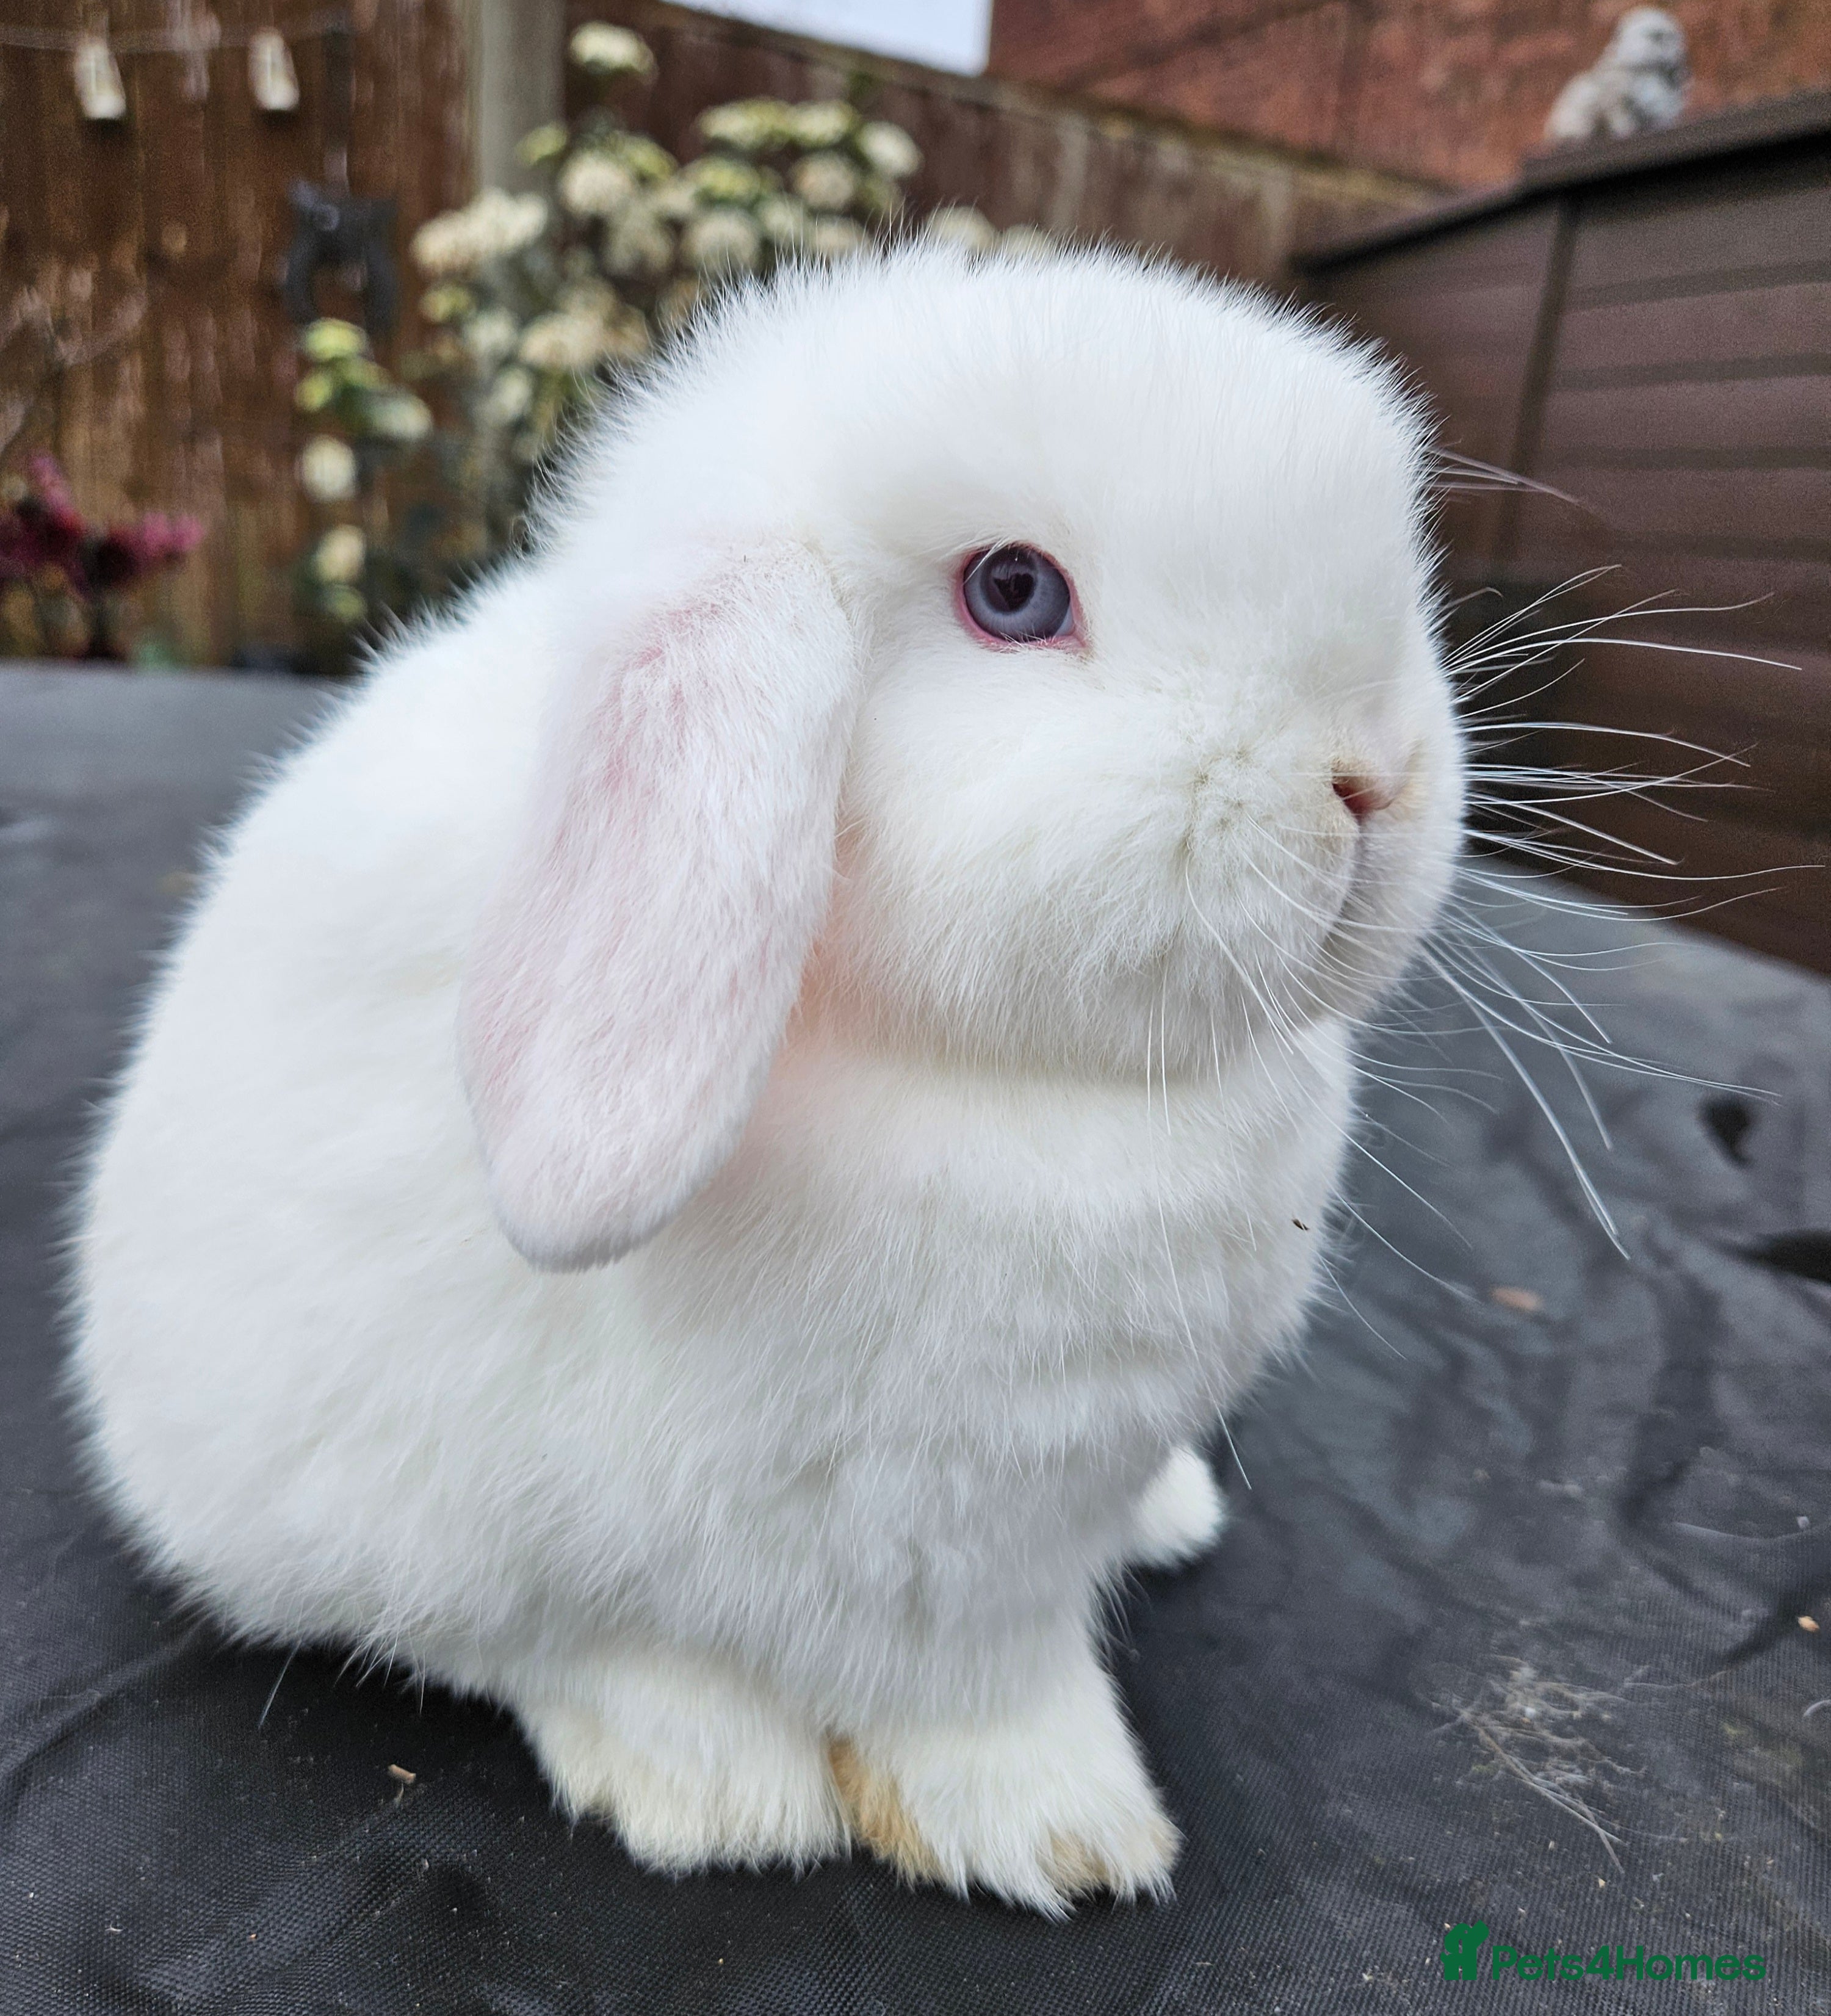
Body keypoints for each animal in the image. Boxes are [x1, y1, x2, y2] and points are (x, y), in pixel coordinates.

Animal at [70, 242, 1464, 1914]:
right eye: (1013, 591)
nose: (1372, 781)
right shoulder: (942, 1549)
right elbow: (976, 1694)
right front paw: (1060, 1831)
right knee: (502, 1632)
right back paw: (707, 1781)